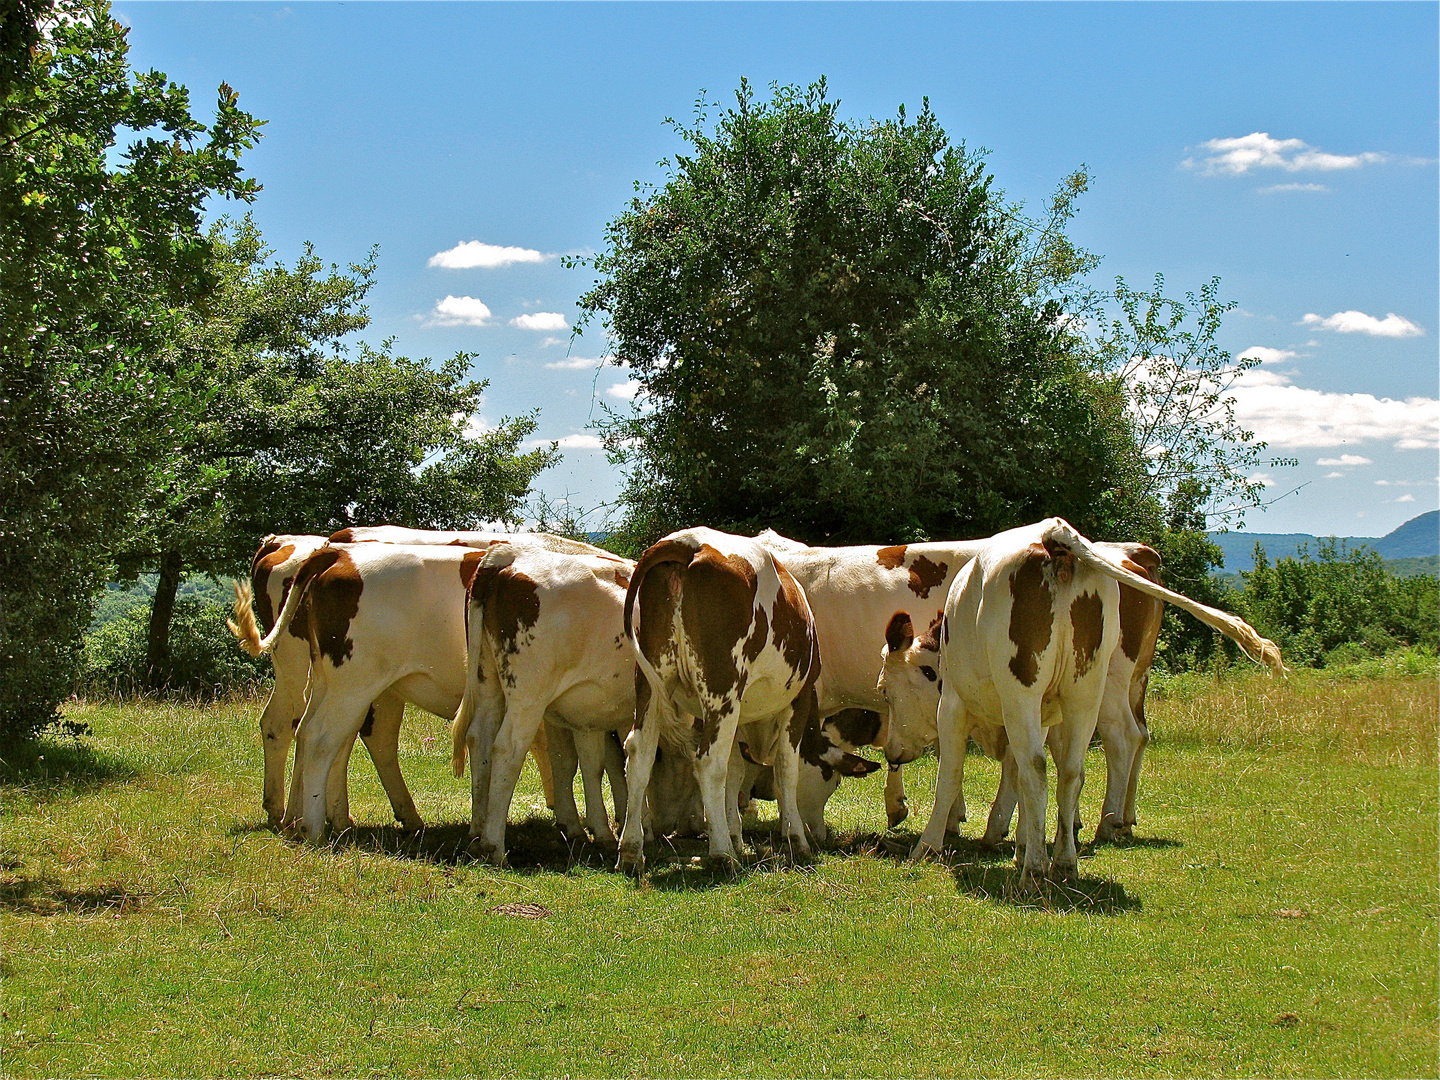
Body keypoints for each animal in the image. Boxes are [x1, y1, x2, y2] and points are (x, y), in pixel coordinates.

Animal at [616, 529, 875, 875]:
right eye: (831, 781)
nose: (818, 833)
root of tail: (688, 542)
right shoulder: (798, 700)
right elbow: (785, 770)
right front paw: (795, 840)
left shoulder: (733, 716)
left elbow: (735, 772)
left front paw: (736, 836)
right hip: (722, 686)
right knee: (708, 761)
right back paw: (721, 854)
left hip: (651, 683)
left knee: (639, 755)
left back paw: (632, 851)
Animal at [881, 521, 1290, 887]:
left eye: (885, 689)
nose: (891, 752)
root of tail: (1054, 535)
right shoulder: (1043, 715)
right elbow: (1017, 777)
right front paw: (1021, 842)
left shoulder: (954, 706)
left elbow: (953, 776)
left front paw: (930, 845)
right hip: (1086, 690)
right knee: (1075, 769)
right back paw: (1067, 858)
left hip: (1036, 690)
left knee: (1055, 762)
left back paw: (1053, 860)